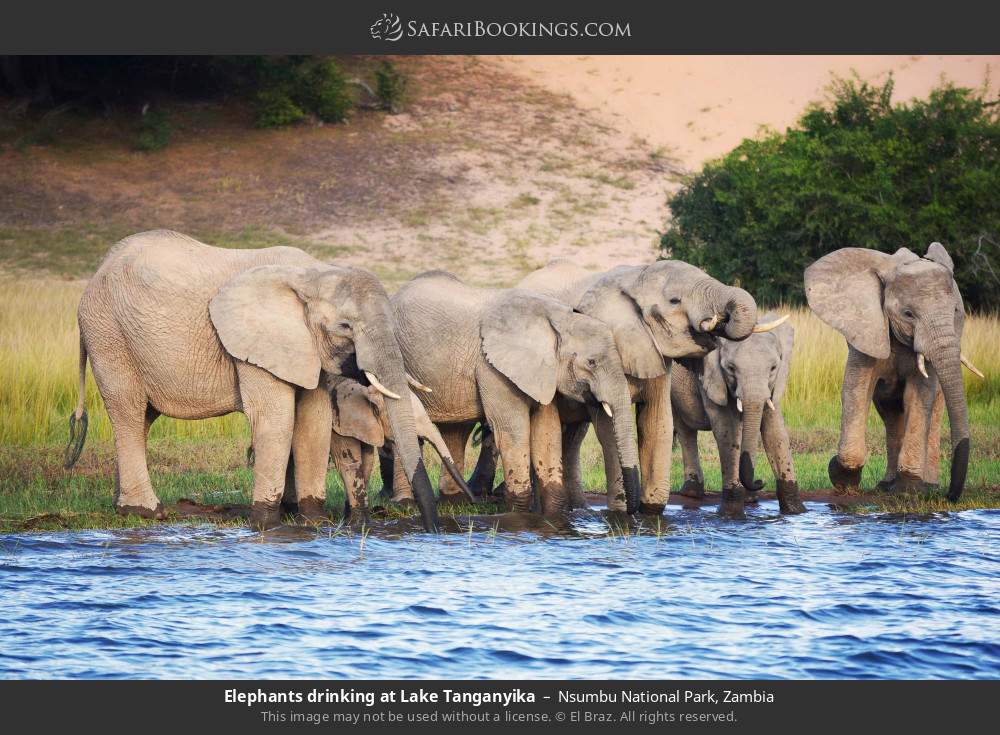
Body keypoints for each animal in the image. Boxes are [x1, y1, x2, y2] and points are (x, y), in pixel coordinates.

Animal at [63, 230, 440, 531]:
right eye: (345, 326)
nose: (432, 530)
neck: (313, 274)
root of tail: (98, 269)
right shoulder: (257, 344)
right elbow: (277, 419)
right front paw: (266, 523)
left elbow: (312, 422)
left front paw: (313, 521)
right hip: (108, 334)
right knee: (127, 409)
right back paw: (146, 511)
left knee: (142, 417)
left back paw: (123, 507)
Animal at [385, 271, 642, 514]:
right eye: (591, 362)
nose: (631, 511)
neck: (558, 319)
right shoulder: (492, 368)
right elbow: (513, 429)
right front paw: (518, 515)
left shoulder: (541, 372)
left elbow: (547, 429)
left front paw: (553, 516)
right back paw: (406, 503)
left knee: (456, 430)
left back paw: (455, 502)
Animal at [478, 258, 783, 514]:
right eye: (675, 300)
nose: (760, 481)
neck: (638, 276)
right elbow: (608, 428)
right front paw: (622, 511)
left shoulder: (654, 351)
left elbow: (656, 423)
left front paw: (650, 512)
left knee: (572, 437)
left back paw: (577, 509)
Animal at [671, 312, 806, 518]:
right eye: (731, 368)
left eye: (773, 368)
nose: (760, 481)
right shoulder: (711, 378)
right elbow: (726, 430)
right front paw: (731, 514)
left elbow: (775, 432)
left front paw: (796, 512)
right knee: (684, 429)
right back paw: (691, 493)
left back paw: (750, 499)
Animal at [805, 243, 983, 500]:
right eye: (908, 314)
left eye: (956, 311)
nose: (951, 495)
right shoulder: (867, 330)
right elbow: (855, 389)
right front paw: (841, 478)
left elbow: (919, 397)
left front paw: (909, 489)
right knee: (890, 414)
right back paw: (886, 485)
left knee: (933, 411)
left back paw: (928, 485)